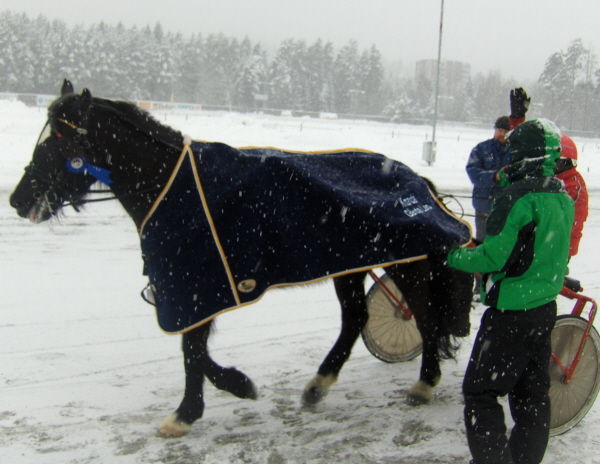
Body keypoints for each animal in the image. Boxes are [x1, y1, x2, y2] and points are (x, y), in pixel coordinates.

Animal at [7, 80, 472, 438]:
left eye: (59, 142)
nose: (17, 199)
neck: (172, 183)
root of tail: (416, 177)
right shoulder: (193, 288)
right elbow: (195, 349)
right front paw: (236, 385)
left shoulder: (198, 282)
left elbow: (192, 349)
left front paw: (188, 411)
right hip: (350, 264)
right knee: (356, 317)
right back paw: (318, 385)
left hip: (406, 263)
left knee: (424, 318)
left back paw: (424, 384)